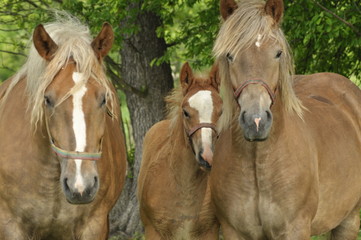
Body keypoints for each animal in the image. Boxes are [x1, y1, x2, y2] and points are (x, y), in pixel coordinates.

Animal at [210, 0, 360, 239]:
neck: (258, 161)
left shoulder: (295, 229)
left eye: (278, 53)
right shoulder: (234, 231)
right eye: (230, 55)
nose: (256, 122)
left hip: (349, 220)